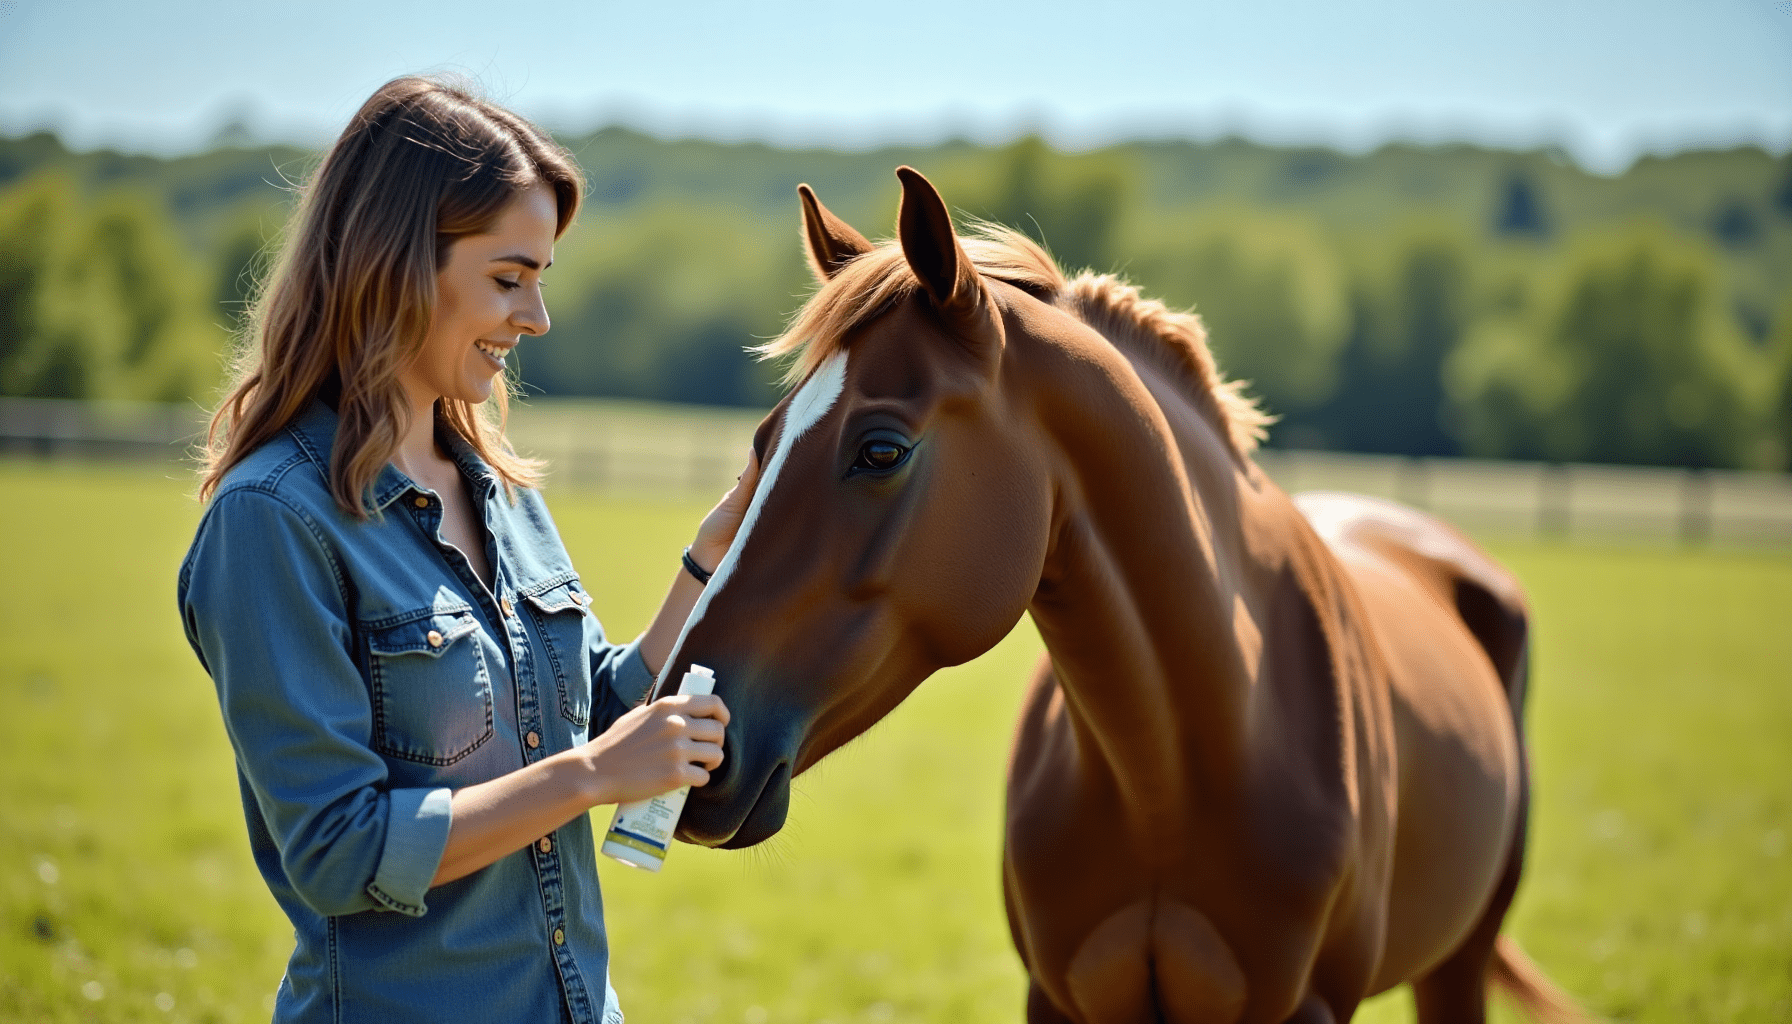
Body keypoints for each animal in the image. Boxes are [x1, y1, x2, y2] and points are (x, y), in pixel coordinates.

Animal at [650, 166, 1583, 1024]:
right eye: (763, 444)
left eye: (880, 450)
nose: (691, 736)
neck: (1173, 777)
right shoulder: (1060, 1001)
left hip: (1460, 960)